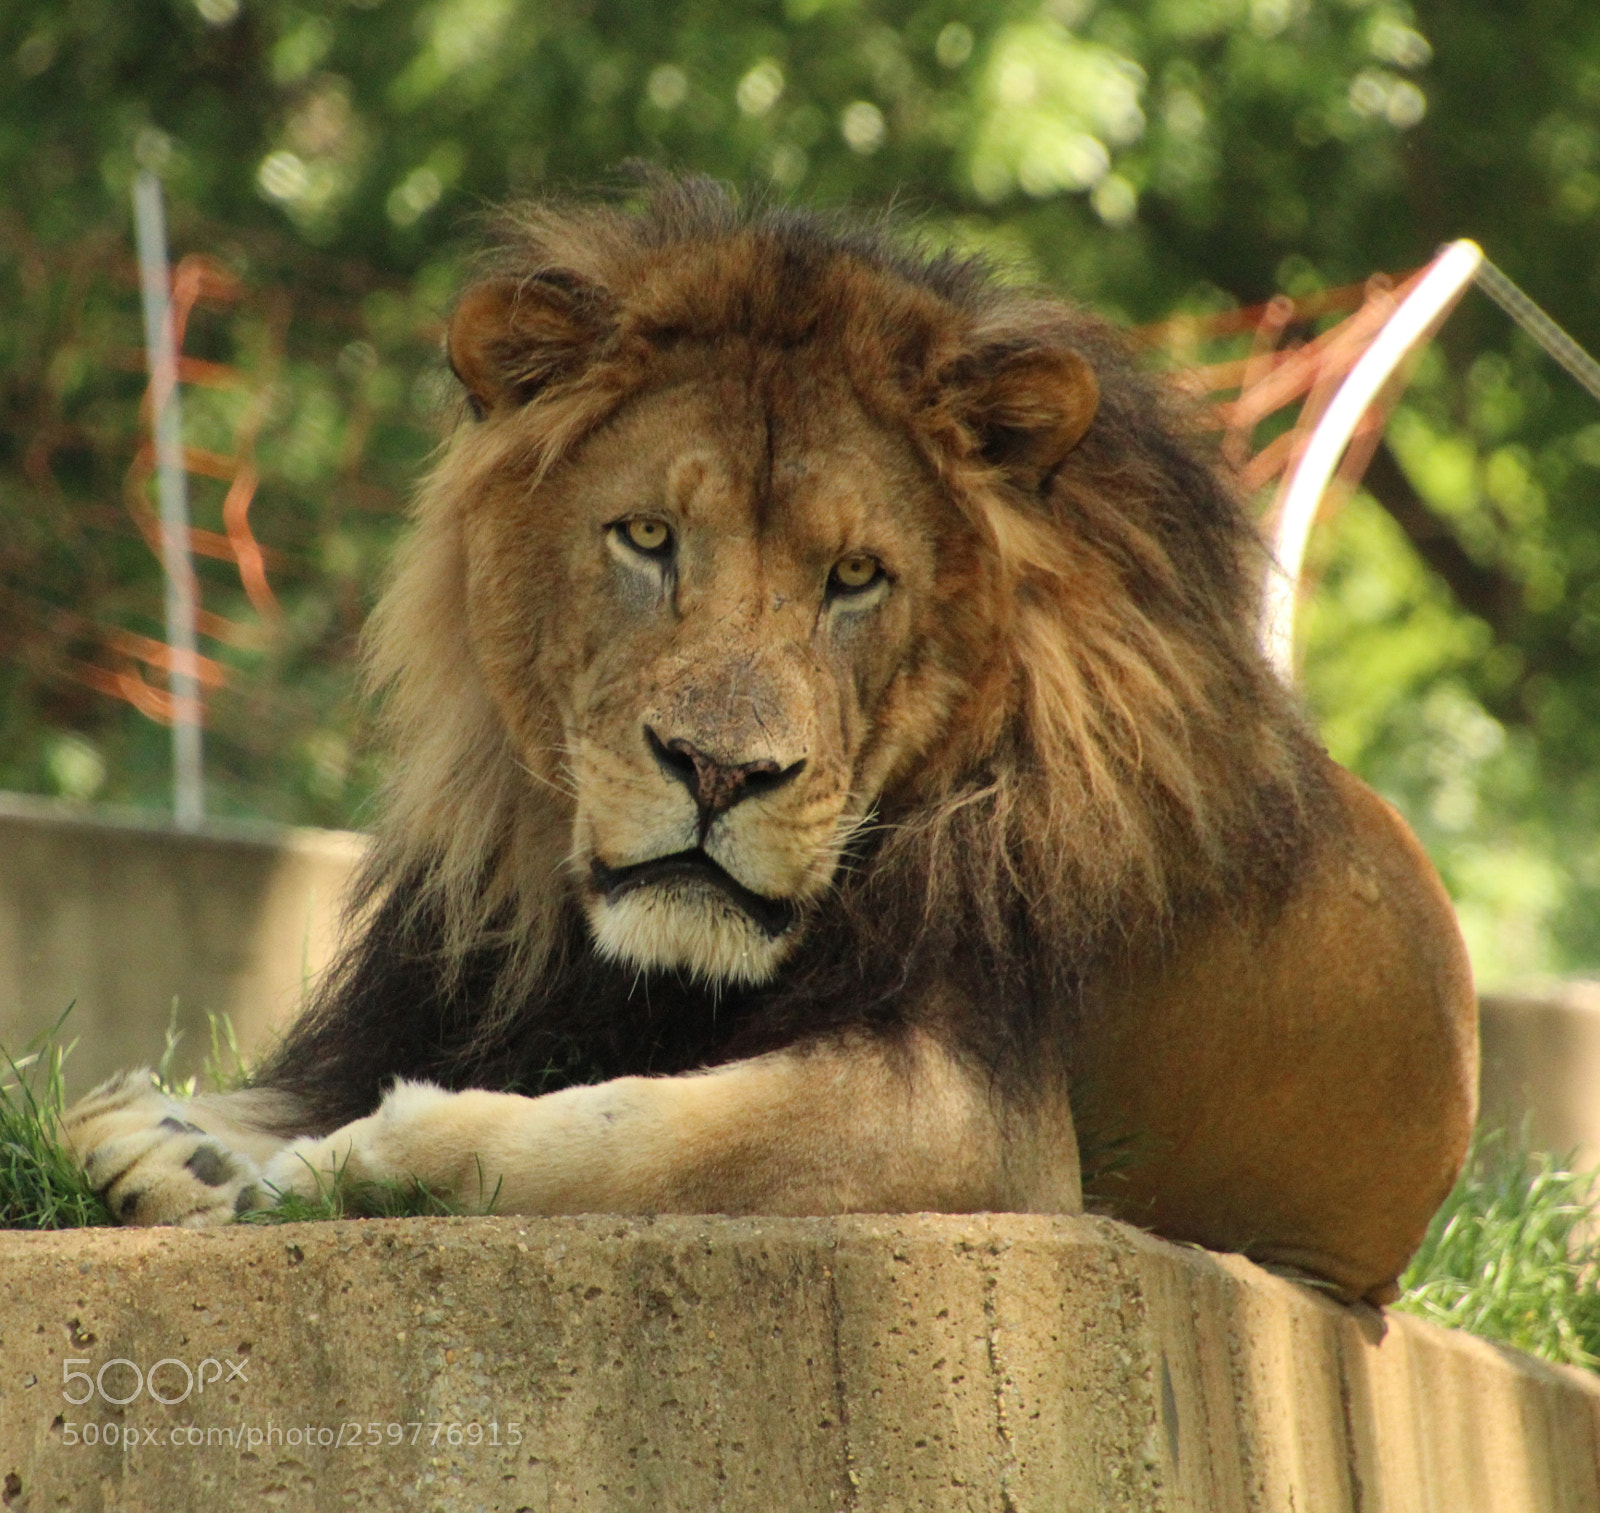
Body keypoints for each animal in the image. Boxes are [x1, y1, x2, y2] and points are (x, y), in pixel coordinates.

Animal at [60, 176, 1476, 1305]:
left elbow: (638, 1138)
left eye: (854, 576)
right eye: (646, 537)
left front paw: (363, 1156)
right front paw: (177, 1137)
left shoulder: (984, 1126)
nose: (718, 772)